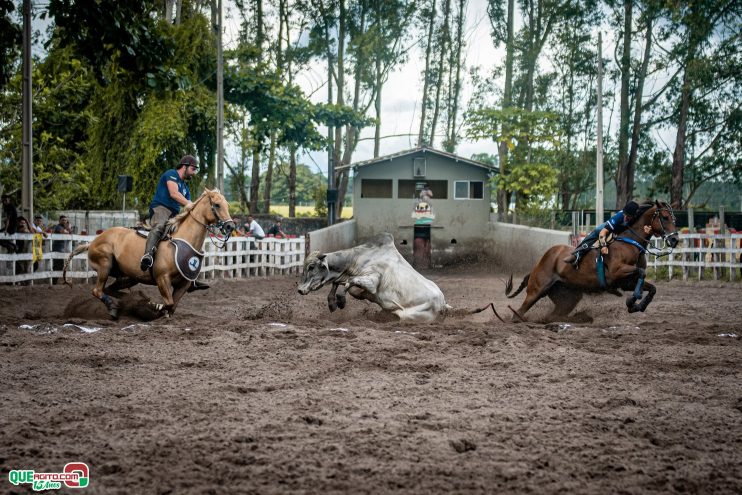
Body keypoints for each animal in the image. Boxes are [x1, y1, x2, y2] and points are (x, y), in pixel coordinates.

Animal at [63, 188, 234, 320]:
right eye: (217, 205)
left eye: (227, 205)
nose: (230, 226)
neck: (183, 240)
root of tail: (92, 241)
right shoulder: (162, 278)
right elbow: (169, 303)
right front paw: (154, 305)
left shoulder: (183, 284)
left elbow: (172, 306)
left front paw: (155, 308)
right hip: (105, 264)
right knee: (97, 291)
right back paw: (116, 307)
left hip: (128, 277)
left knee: (109, 290)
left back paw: (131, 301)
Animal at [296, 233, 500, 324]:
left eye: (312, 267)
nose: (299, 289)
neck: (358, 258)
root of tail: (443, 304)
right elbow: (339, 282)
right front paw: (332, 302)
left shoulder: (371, 282)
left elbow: (347, 283)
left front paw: (340, 300)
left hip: (410, 316)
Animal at [506, 202, 680, 322]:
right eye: (665, 217)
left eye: (674, 218)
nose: (675, 239)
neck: (630, 242)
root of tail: (541, 261)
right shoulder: (617, 272)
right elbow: (642, 273)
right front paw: (633, 299)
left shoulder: (626, 282)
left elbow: (652, 288)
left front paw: (636, 305)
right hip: (536, 290)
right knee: (519, 313)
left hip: (568, 298)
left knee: (554, 314)